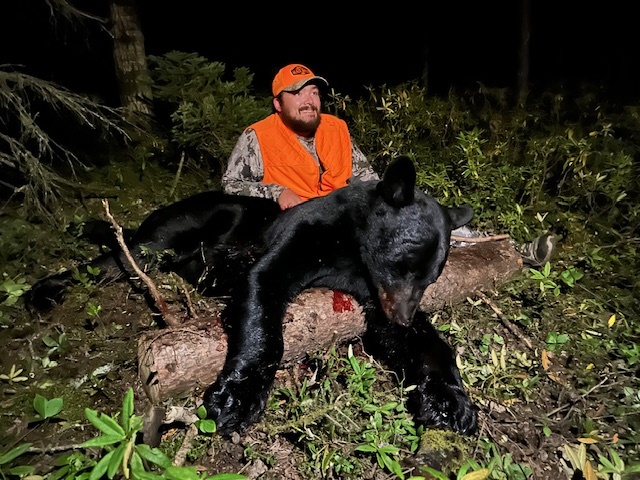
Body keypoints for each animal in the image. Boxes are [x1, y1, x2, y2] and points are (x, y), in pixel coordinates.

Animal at [202, 156, 478, 436]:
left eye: (430, 280)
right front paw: (238, 396)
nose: (402, 318)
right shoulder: (307, 233)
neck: (356, 247)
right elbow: (264, 285)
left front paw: (451, 402)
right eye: (403, 265)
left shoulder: (374, 287)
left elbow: (416, 338)